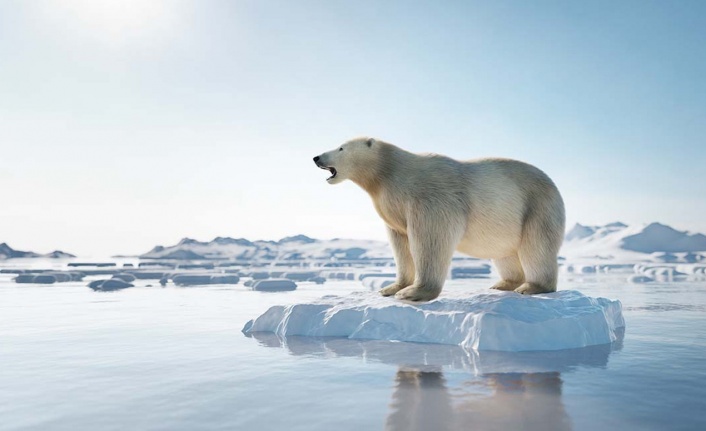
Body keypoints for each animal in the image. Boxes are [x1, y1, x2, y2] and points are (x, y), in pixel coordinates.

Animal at [314, 137, 568, 302]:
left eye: (341, 147)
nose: (316, 157)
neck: (390, 173)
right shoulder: (393, 208)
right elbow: (400, 244)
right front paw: (391, 287)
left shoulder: (430, 197)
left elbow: (430, 238)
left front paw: (412, 293)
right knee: (505, 253)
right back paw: (503, 284)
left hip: (537, 207)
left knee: (536, 247)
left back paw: (531, 287)